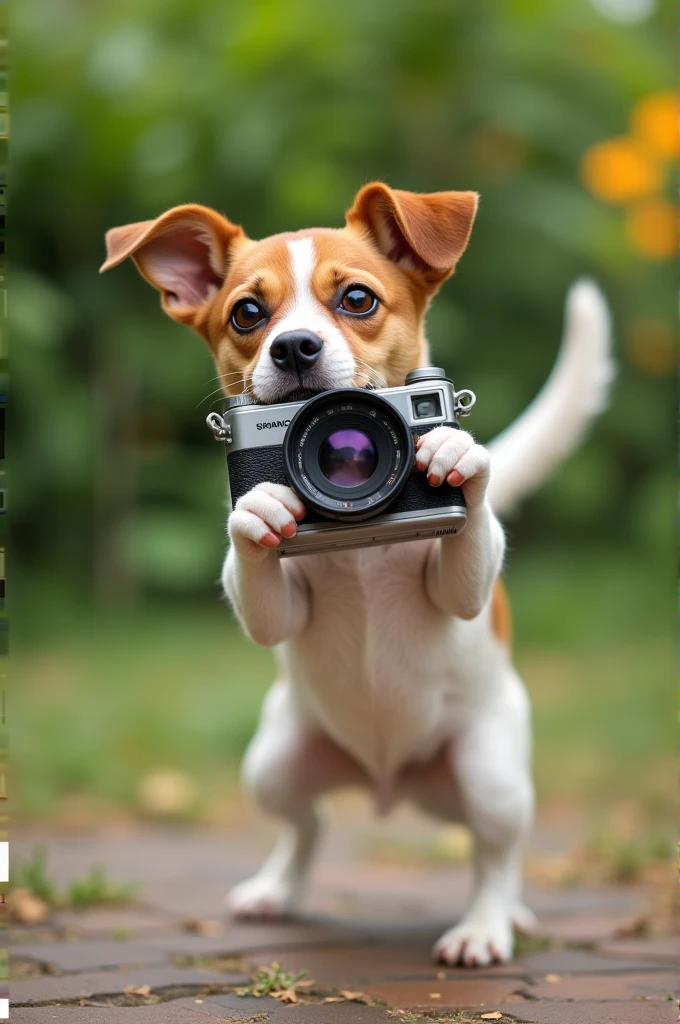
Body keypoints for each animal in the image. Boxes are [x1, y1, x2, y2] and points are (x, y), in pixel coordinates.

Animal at [102, 186, 614, 966]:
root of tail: (388, 783)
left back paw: (491, 925)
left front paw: (456, 460)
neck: (364, 541)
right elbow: (261, 587)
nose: (293, 346)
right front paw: (261, 509)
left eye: (356, 299)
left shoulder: (460, 587)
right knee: (307, 826)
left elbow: (466, 543)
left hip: (491, 778)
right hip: (273, 765)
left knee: (495, 856)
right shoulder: (279, 605)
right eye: (247, 314)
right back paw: (275, 890)